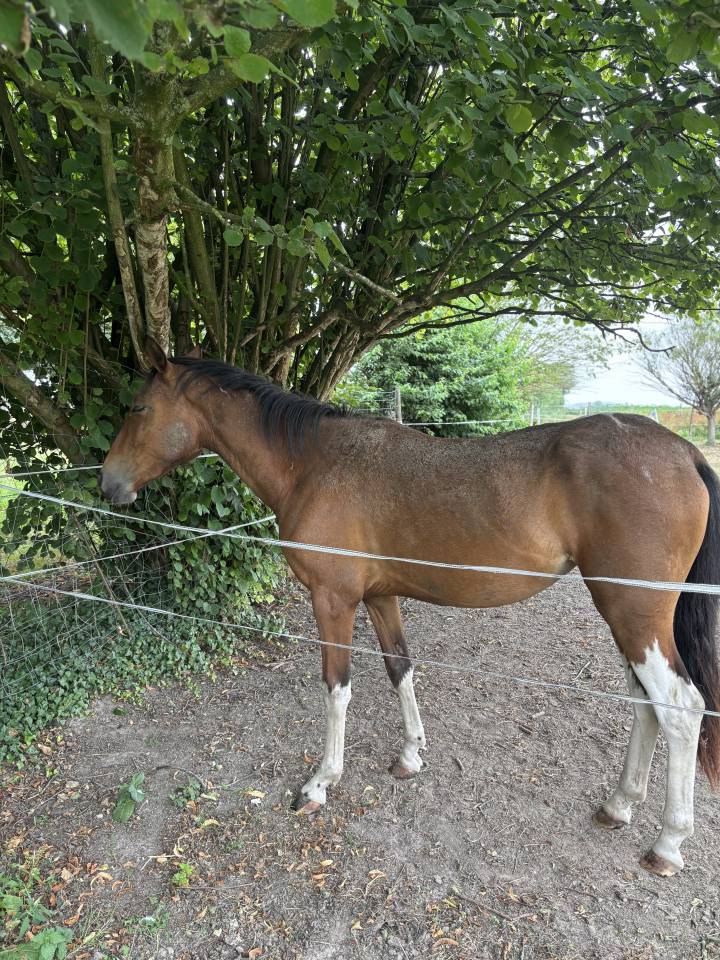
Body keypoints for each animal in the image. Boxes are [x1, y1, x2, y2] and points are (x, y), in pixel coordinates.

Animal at [100, 337, 720, 877]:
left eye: (138, 407)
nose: (108, 483)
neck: (314, 464)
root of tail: (684, 453)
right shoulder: (380, 597)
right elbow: (400, 668)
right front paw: (411, 755)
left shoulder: (333, 601)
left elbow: (337, 687)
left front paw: (321, 782)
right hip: (627, 618)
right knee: (645, 703)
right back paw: (619, 804)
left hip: (635, 614)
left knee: (679, 708)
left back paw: (667, 842)